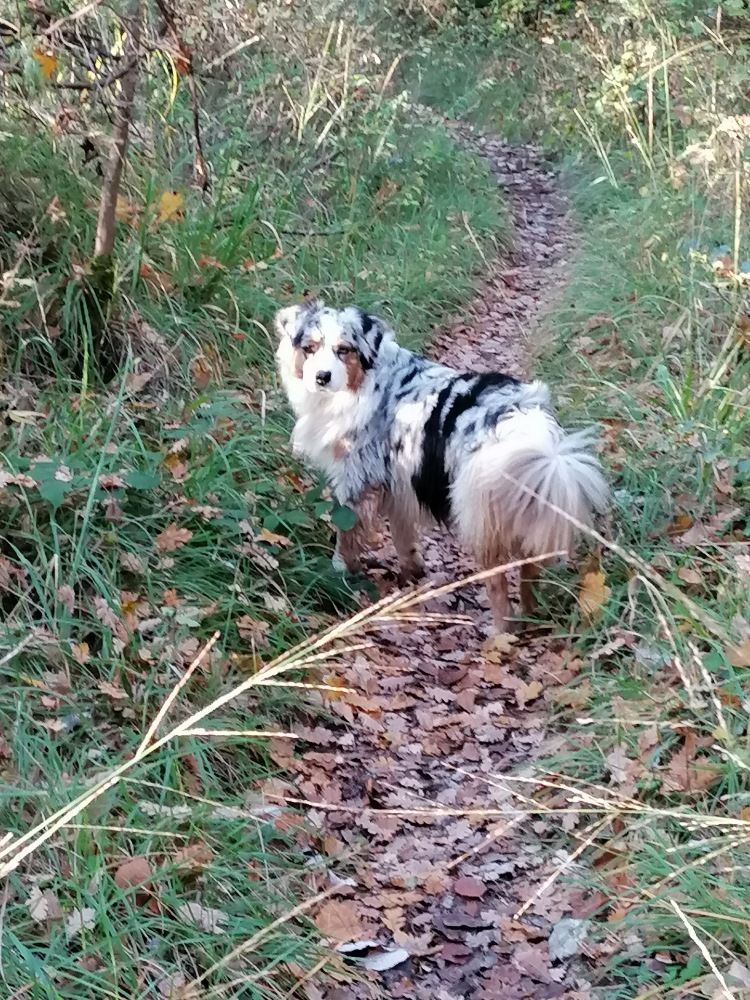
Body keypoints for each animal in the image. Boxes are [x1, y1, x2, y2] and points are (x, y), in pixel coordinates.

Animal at [276, 296, 612, 628]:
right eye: (309, 348)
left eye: (343, 350)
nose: (322, 377)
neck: (369, 381)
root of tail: (526, 423)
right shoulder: (398, 481)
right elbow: (403, 534)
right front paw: (412, 571)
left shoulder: (357, 478)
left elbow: (346, 533)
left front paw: (339, 570)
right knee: (530, 574)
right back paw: (531, 618)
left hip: (482, 513)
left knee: (498, 584)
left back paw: (502, 632)